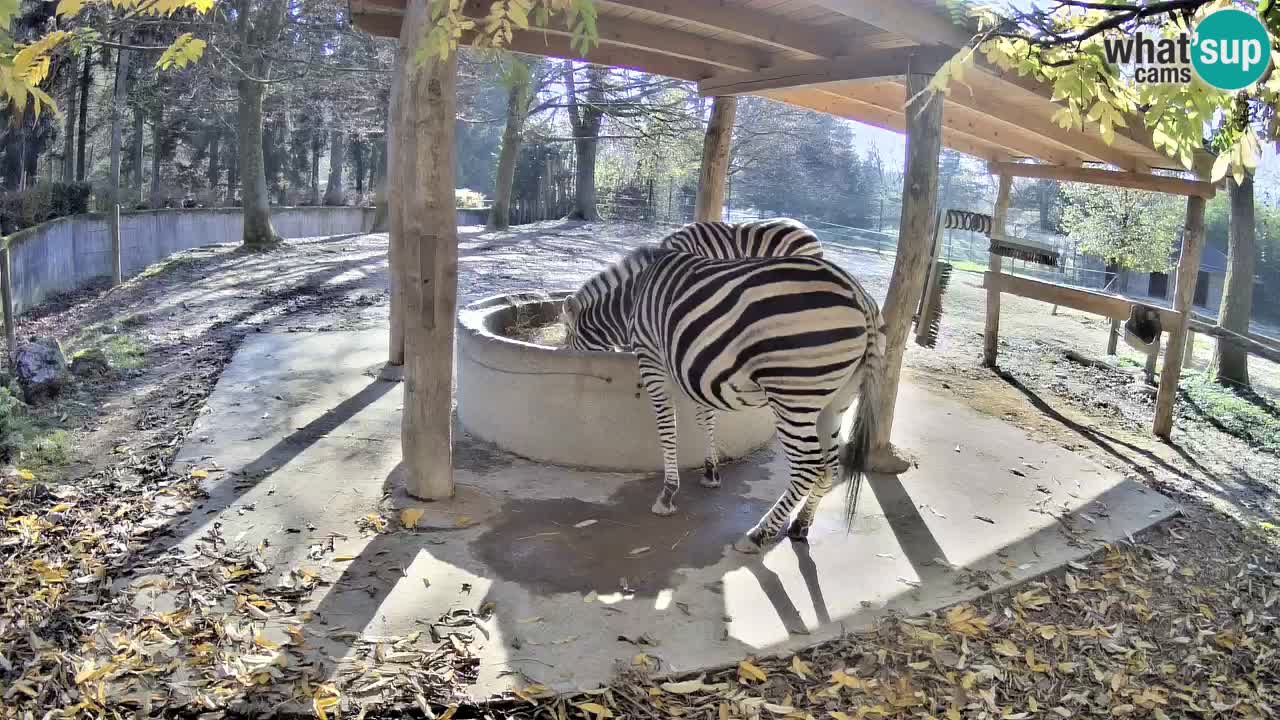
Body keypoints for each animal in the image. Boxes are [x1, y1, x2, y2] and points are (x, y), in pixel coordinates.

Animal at [562, 246, 886, 552]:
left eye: (568, 336)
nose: (569, 360)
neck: (634, 297)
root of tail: (859, 294)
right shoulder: (695, 370)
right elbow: (705, 418)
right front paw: (711, 472)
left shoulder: (652, 358)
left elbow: (667, 427)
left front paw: (668, 493)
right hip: (836, 400)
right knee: (830, 465)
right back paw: (800, 525)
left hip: (793, 395)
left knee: (808, 466)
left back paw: (757, 535)